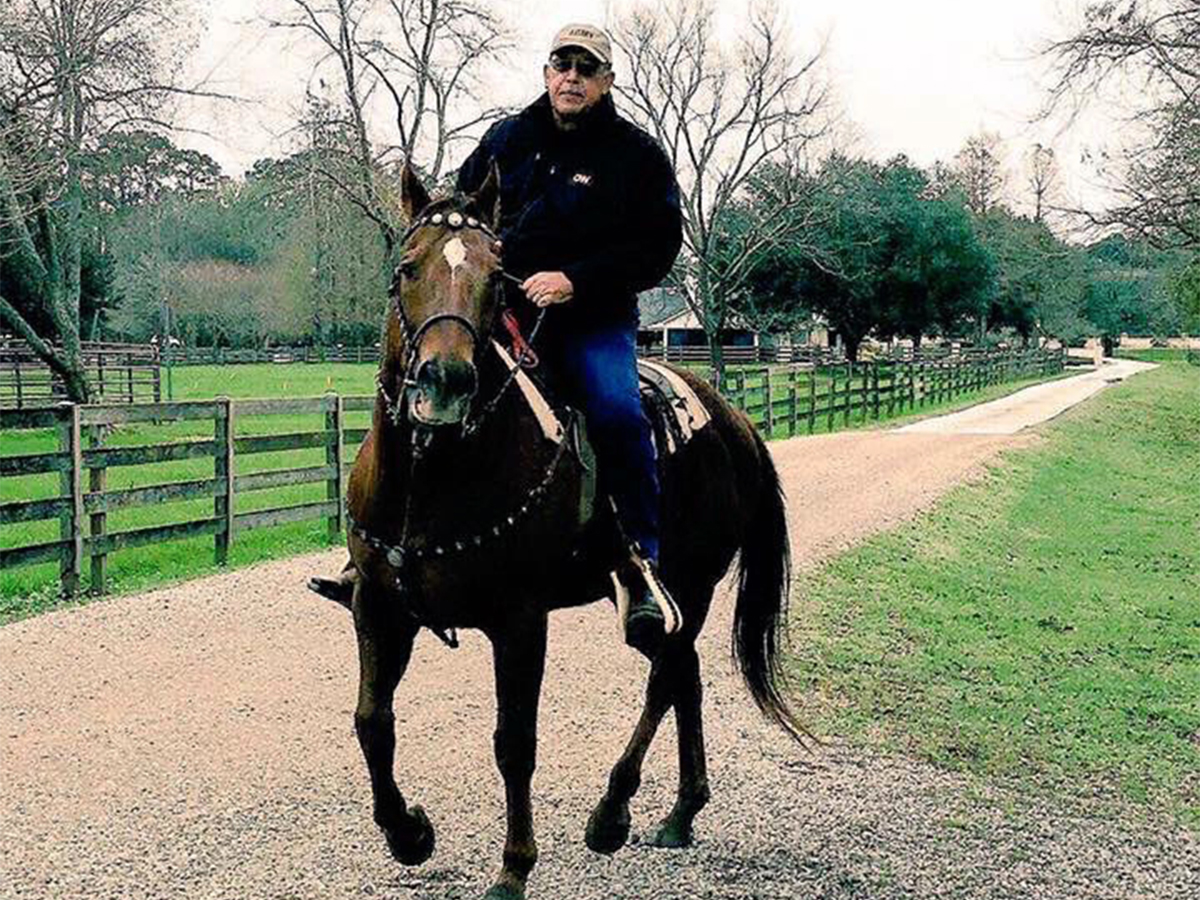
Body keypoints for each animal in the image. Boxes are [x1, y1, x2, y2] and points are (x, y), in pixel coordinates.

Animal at [335, 164, 801, 900]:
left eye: (496, 277)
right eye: (407, 269)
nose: (446, 382)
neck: (433, 476)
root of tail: (735, 423)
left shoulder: (520, 621)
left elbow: (514, 742)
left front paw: (513, 867)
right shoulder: (378, 606)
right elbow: (372, 723)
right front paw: (408, 834)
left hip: (690, 586)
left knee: (666, 678)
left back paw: (612, 812)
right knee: (685, 674)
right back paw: (680, 812)